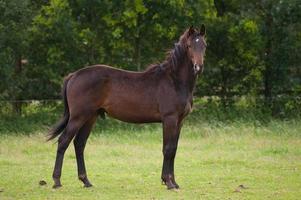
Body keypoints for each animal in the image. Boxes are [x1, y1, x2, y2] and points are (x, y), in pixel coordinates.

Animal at [48, 25, 206, 189]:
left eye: (204, 45)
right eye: (189, 46)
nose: (198, 67)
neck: (174, 81)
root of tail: (73, 75)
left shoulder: (179, 121)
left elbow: (173, 149)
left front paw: (173, 182)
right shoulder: (169, 119)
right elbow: (167, 149)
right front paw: (168, 182)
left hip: (90, 117)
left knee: (79, 144)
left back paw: (86, 181)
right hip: (78, 117)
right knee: (63, 142)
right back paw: (57, 181)